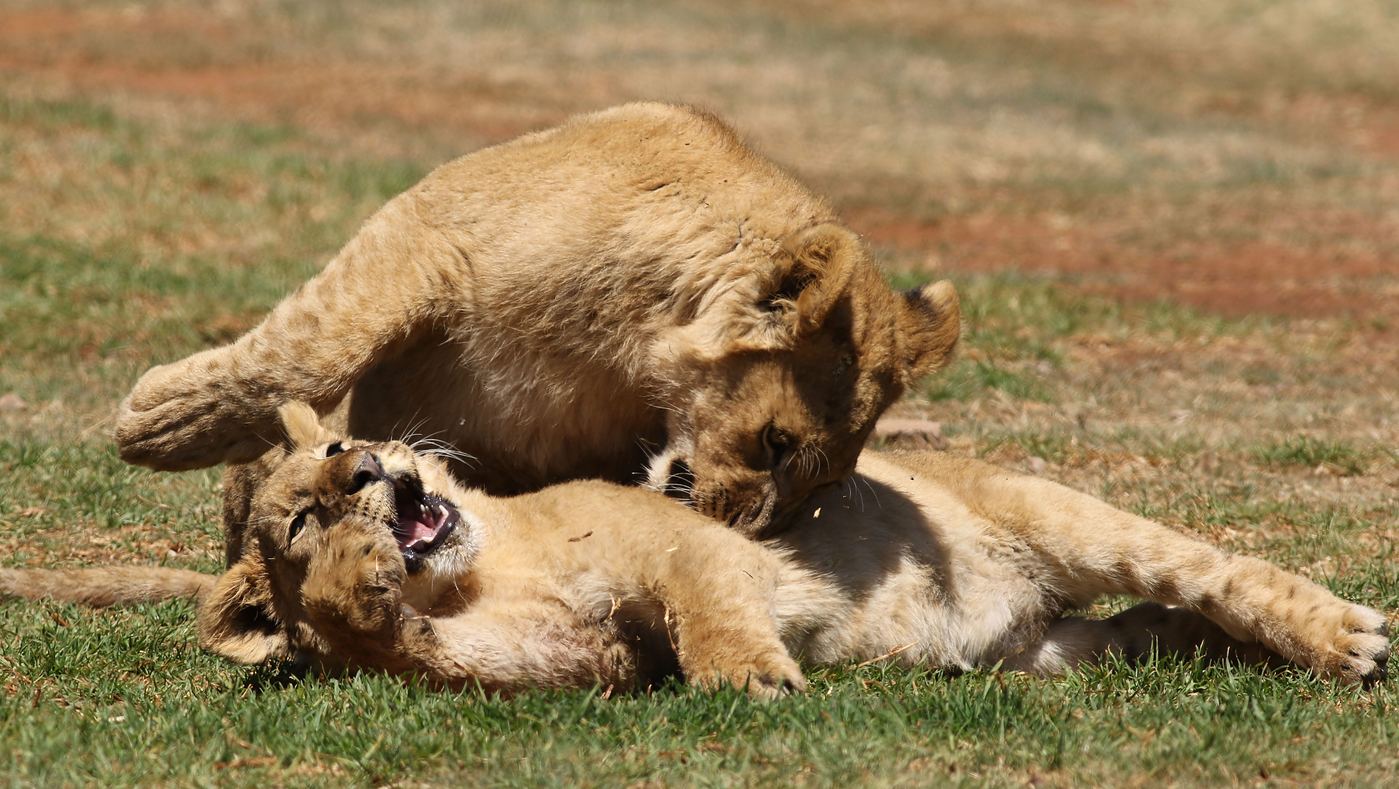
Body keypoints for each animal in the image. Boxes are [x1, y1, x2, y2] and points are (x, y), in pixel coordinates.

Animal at [113, 102, 961, 536]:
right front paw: (156, 424)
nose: (747, 533)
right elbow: (317, 343)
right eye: (775, 442)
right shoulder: (428, 233)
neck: (629, 341)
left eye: (822, 484)